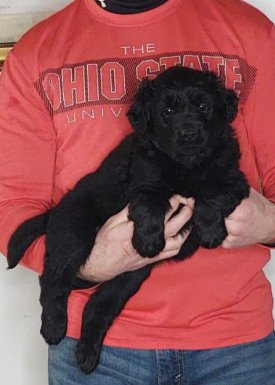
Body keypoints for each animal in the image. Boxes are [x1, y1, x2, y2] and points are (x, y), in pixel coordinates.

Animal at [7, 66, 250, 372]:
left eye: (204, 107)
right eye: (167, 111)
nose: (188, 133)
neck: (187, 164)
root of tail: (55, 210)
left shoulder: (234, 177)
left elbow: (213, 190)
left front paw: (209, 231)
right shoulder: (143, 181)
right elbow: (149, 202)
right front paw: (148, 241)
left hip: (129, 276)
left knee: (97, 306)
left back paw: (86, 355)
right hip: (73, 234)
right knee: (53, 281)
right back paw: (53, 327)